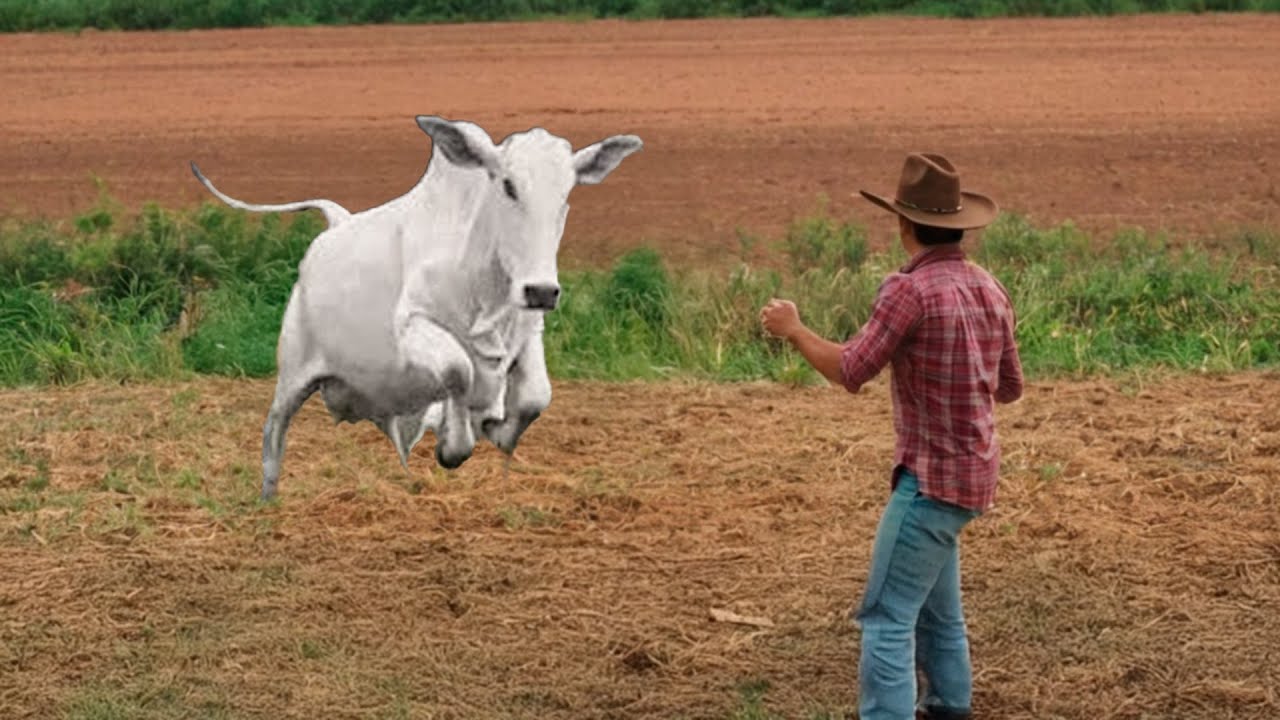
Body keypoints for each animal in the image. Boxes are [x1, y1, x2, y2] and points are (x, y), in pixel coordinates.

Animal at [190, 115, 643, 499]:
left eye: (567, 194)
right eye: (509, 185)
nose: (542, 291)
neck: (482, 293)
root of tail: (337, 225)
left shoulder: (527, 332)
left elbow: (535, 396)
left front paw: (493, 428)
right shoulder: (412, 328)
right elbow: (458, 371)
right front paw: (453, 445)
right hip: (292, 374)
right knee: (273, 435)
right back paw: (268, 503)